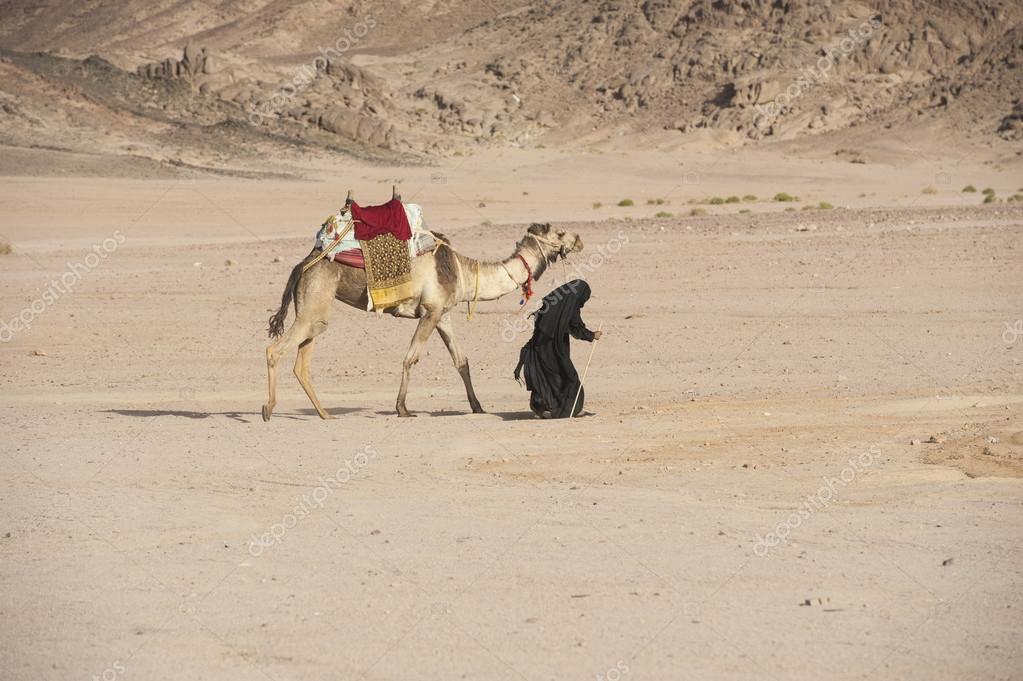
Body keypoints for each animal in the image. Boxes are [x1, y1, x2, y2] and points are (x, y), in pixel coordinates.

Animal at [263, 204, 585, 417]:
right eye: (560, 233)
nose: (579, 240)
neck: (463, 272)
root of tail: (304, 264)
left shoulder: (443, 314)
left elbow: (461, 361)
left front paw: (477, 406)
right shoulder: (430, 311)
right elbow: (411, 358)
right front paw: (402, 408)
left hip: (314, 309)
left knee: (302, 361)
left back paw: (324, 414)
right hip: (314, 302)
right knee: (274, 350)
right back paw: (268, 409)